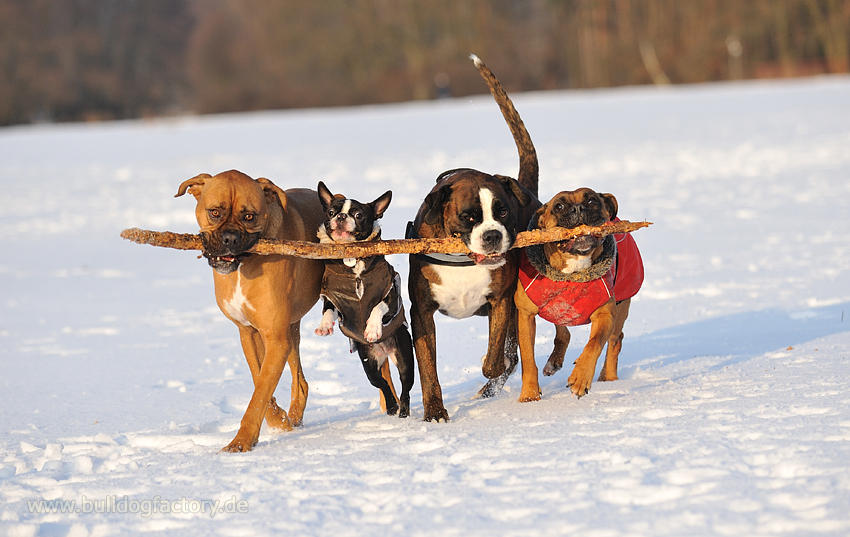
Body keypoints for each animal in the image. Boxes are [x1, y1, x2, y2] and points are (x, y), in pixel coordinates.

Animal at [176, 169, 324, 452]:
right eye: (215, 212)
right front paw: (278, 421)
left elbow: (259, 394)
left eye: (249, 216)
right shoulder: (250, 333)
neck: (242, 269)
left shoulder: (275, 339)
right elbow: (259, 380)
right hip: (291, 331)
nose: (230, 238)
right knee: (300, 381)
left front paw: (241, 441)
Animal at [404, 55, 536, 422]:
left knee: (511, 355)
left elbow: (496, 357)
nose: (492, 236)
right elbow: (428, 368)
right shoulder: (422, 313)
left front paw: (489, 369)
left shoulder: (502, 302)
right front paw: (434, 411)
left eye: (503, 212)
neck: (462, 260)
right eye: (469, 216)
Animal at [510, 188, 644, 402]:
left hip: (621, 306)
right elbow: (528, 359)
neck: (574, 270)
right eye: (559, 206)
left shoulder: (605, 314)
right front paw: (529, 396)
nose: (578, 208)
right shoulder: (525, 315)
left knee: (615, 340)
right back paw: (554, 362)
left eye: (592, 200)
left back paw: (609, 378)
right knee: (564, 331)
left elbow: (594, 344)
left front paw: (581, 378)